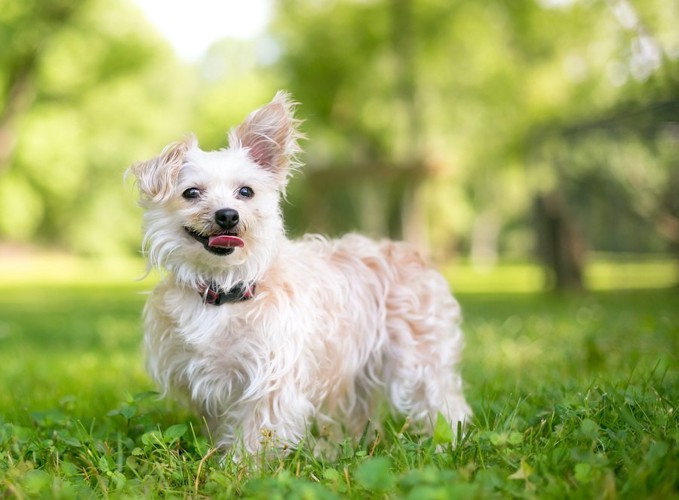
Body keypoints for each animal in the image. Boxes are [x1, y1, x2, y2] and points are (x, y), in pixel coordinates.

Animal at [129, 92, 472, 456]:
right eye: (191, 193)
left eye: (245, 192)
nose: (228, 215)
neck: (224, 289)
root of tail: (412, 252)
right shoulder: (206, 381)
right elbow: (221, 425)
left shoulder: (273, 376)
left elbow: (258, 430)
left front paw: (241, 465)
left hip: (420, 363)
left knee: (445, 404)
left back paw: (448, 445)